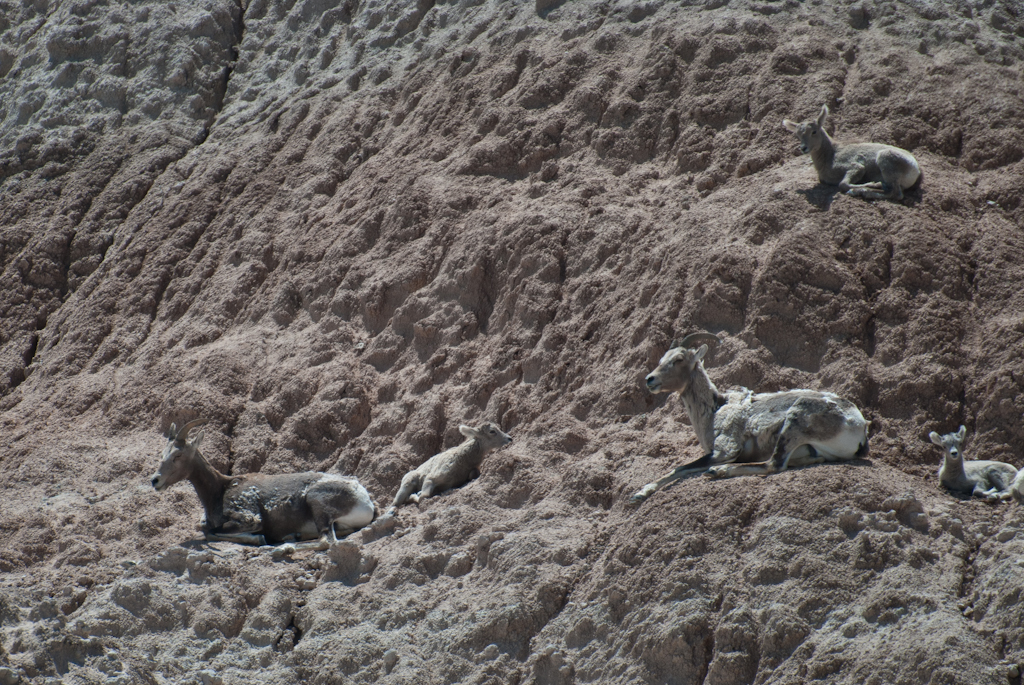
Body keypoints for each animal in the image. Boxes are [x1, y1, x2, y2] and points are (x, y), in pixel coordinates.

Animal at [149, 417, 378, 557]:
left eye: (178, 455)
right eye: (163, 454)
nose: (155, 480)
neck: (220, 489)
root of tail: (365, 500)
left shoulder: (249, 517)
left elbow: (210, 531)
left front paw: (259, 538)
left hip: (317, 503)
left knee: (327, 541)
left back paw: (281, 548)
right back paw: (291, 537)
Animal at [626, 333, 868, 505]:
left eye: (678, 359)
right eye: (662, 359)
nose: (650, 379)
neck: (715, 409)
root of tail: (857, 425)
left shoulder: (725, 450)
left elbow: (680, 468)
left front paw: (639, 493)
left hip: (794, 422)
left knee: (774, 465)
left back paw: (719, 471)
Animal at [782, 104, 921, 200]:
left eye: (814, 131)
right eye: (798, 135)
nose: (803, 148)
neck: (830, 155)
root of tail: (915, 168)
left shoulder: (856, 167)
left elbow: (843, 184)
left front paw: (869, 184)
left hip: (885, 160)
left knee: (896, 194)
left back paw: (865, 190)